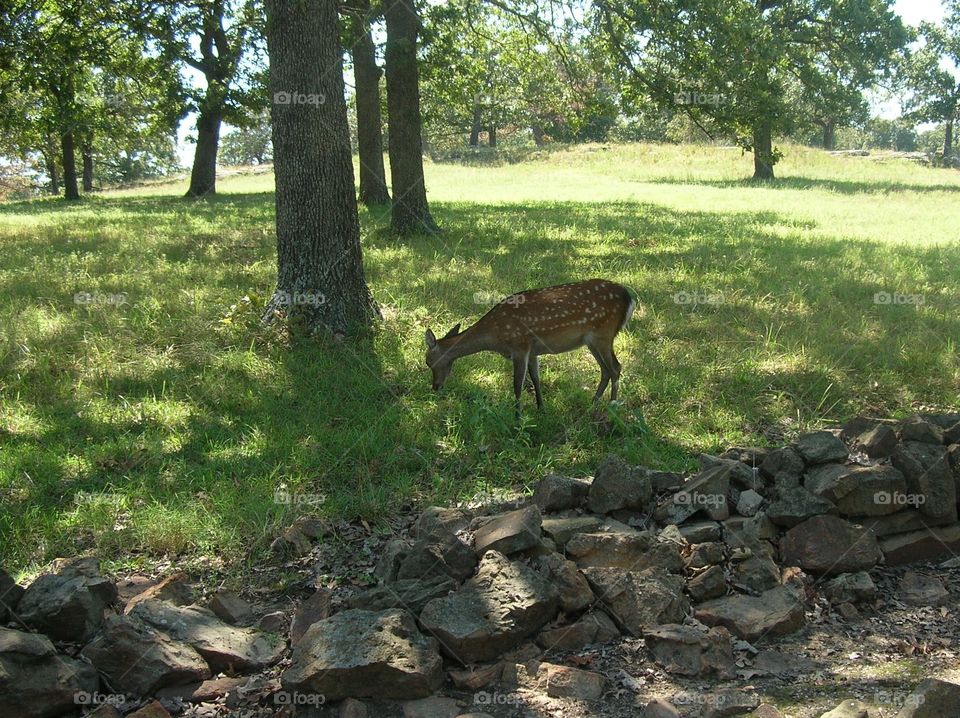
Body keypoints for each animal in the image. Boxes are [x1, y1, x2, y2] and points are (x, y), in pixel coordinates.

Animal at [425, 279, 637, 415]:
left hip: (604, 334)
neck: (495, 336)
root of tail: (630, 298)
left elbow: (517, 384)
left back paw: (612, 408)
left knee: (616, 367)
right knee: (605, 370)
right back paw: (592, 404)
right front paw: (541, 409)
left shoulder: (520, 346)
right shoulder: (533, 351)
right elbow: (536, 378)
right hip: (591, 341)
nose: (435, 386)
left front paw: (517, 417)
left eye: (428, 362)